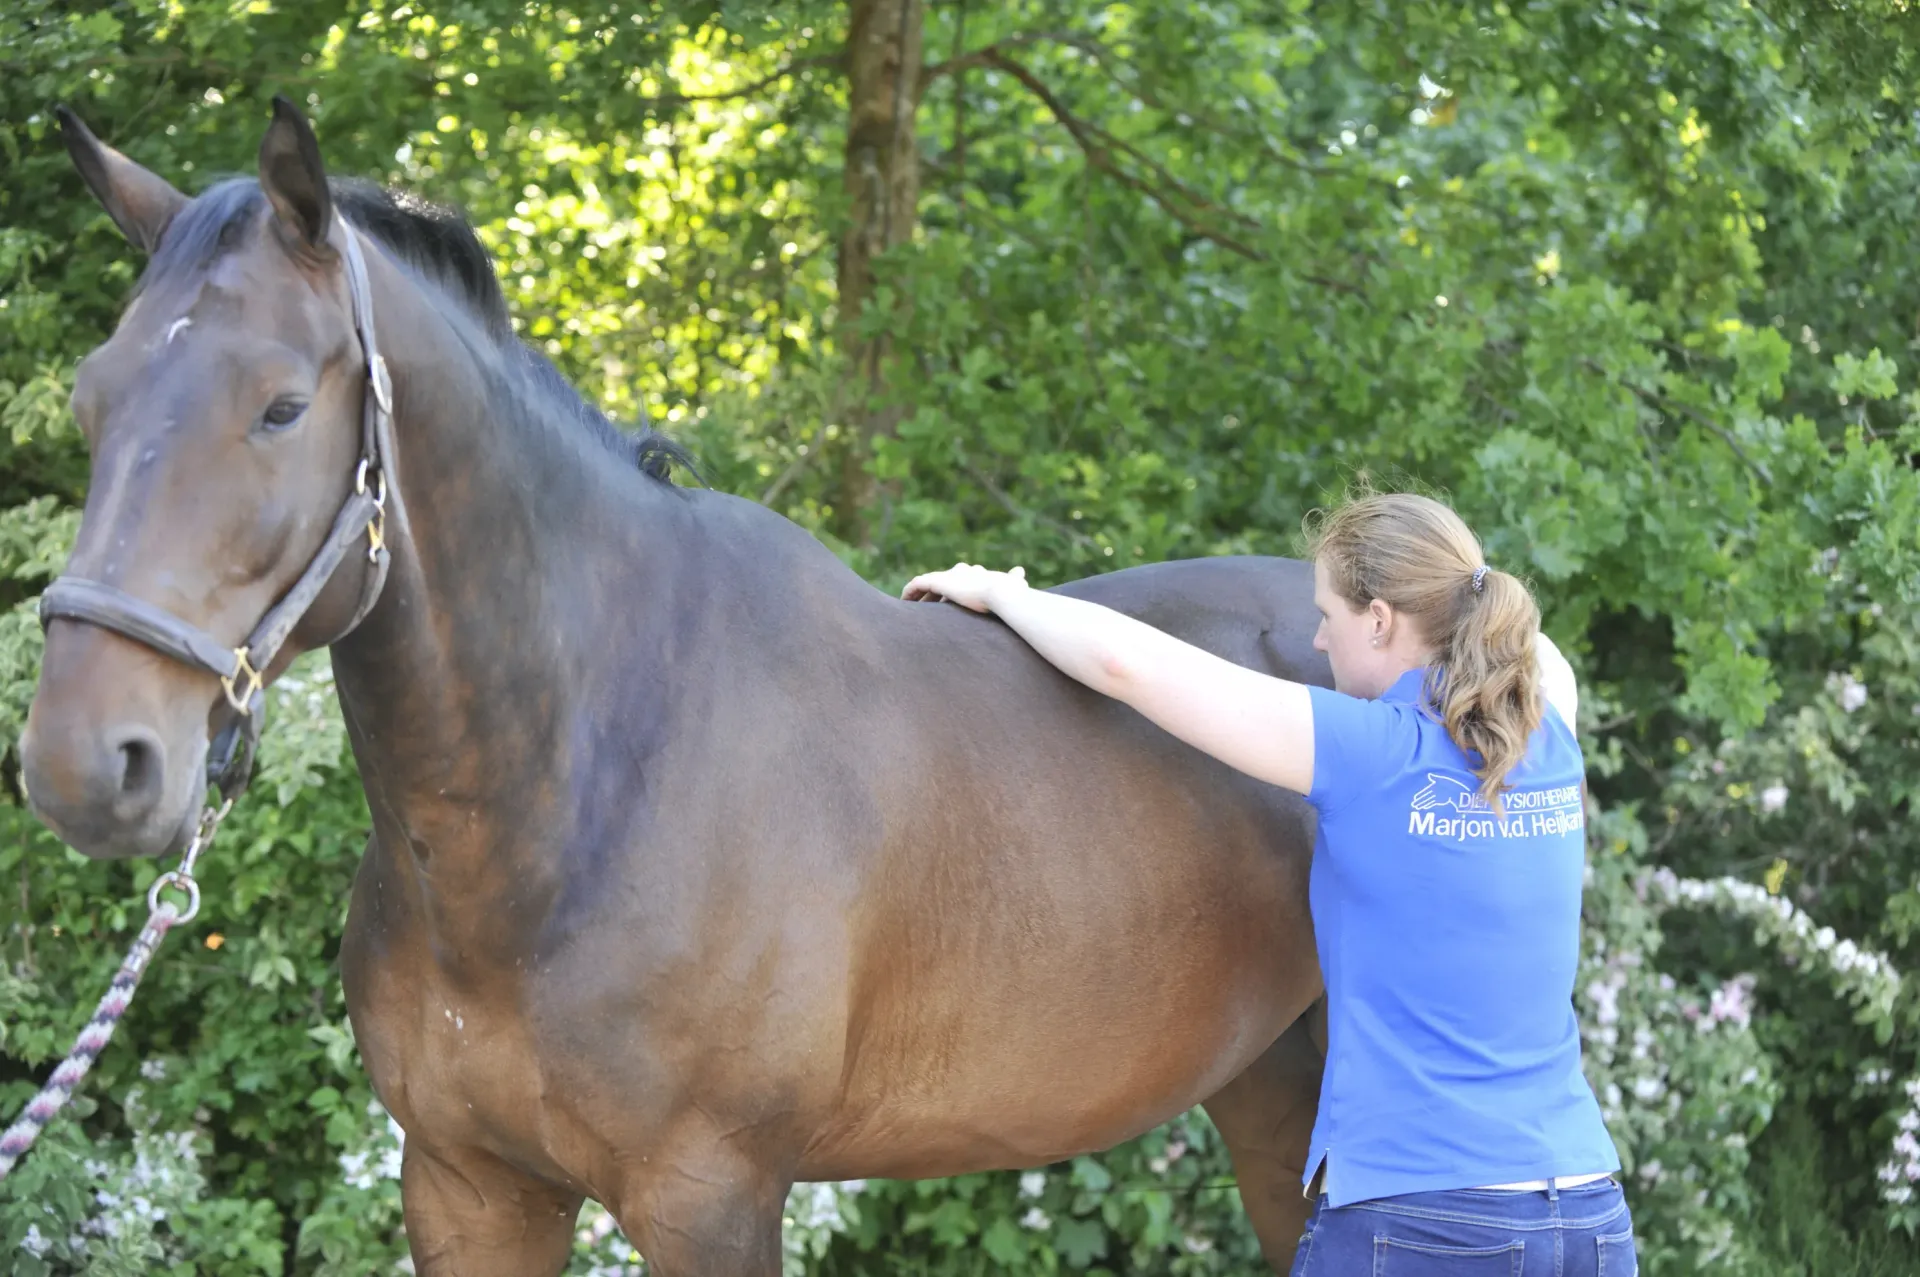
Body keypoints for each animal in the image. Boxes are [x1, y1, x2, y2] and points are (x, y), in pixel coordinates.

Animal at [20, 99, 1331, 1275]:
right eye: (90, 399)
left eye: (282, 406)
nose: (83, 758)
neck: (586, 786)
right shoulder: (467, 1187)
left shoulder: (710, 1193)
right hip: (1277, 1092)